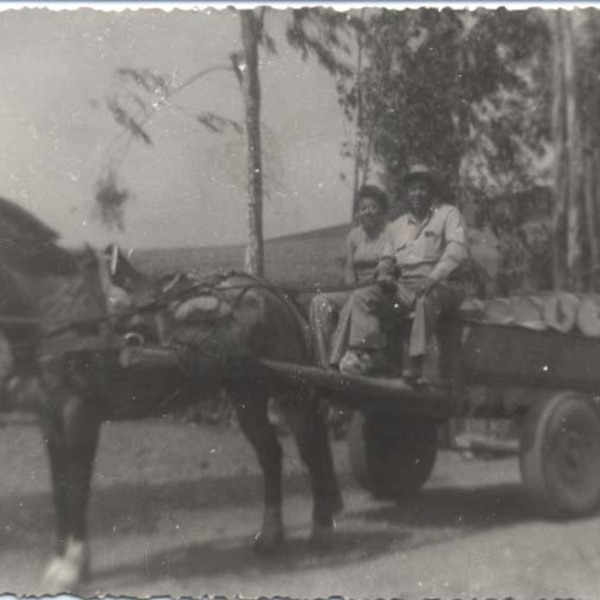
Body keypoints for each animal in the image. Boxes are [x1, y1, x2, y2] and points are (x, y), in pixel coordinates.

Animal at [0, 198, 342, 592]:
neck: (57, 306)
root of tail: (272, 290)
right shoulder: (49, 416)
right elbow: (59, 486)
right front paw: (63, 563)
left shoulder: (80, 413)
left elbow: (77, 485)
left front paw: (72, 566)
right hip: (248, 393)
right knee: (271, 456)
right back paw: (270, 536)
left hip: (290, 390)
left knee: (312, 448)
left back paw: (321, 530)